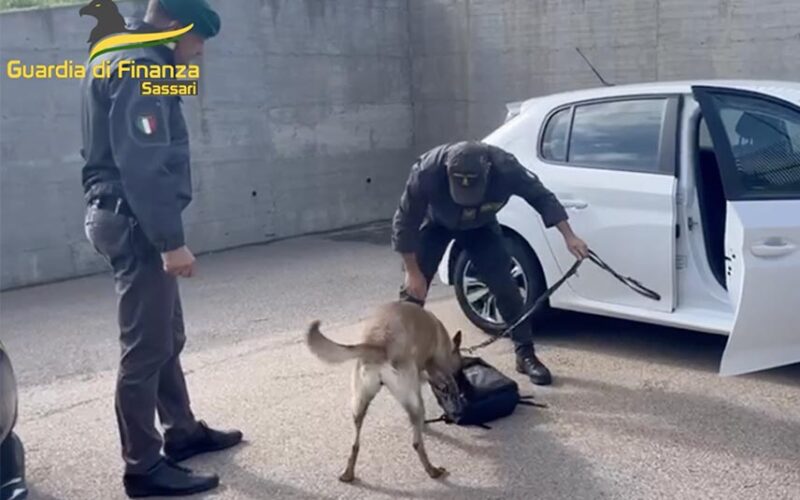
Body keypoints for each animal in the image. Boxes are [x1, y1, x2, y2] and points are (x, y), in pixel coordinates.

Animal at [310, 300, 466, 480]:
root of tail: (378, 344)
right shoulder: (437, 368)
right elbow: (448, 382)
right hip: (413, 400)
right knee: (416, 442)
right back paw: (432, 469)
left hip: (359, 402)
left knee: (355, 444)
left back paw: (348, 473)